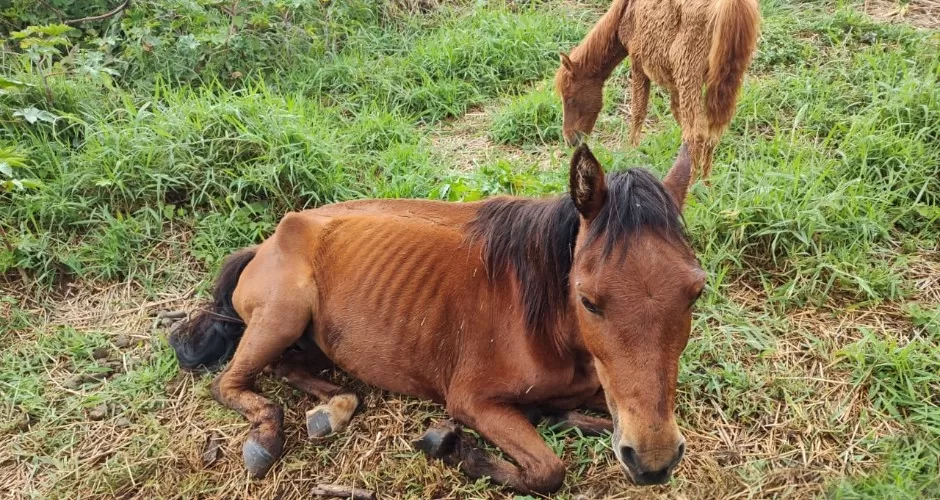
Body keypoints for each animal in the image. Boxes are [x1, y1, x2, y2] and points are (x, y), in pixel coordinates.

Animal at [169, 144, 704, 492]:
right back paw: (265, 436)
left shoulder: (605, 389)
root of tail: (268, 241)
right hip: (283, 314)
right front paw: (457, 450)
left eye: (695, 293)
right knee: (229, 384)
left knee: (293, 370)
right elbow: (549, 472)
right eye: (588, 300)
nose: (653, 461)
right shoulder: (472, 402)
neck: (547, 323)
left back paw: (333, 408)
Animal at [556, 0, 760, 179]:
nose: (570, 140)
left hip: (688, 71)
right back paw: (706, 184)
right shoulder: (674, 82)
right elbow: (676, 113)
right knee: (711, 132)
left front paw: (631, 151)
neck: (626, 12)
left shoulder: (638, 61)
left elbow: (638, 111)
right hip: (726, 78)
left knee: (696, 134)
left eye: (570, 99)